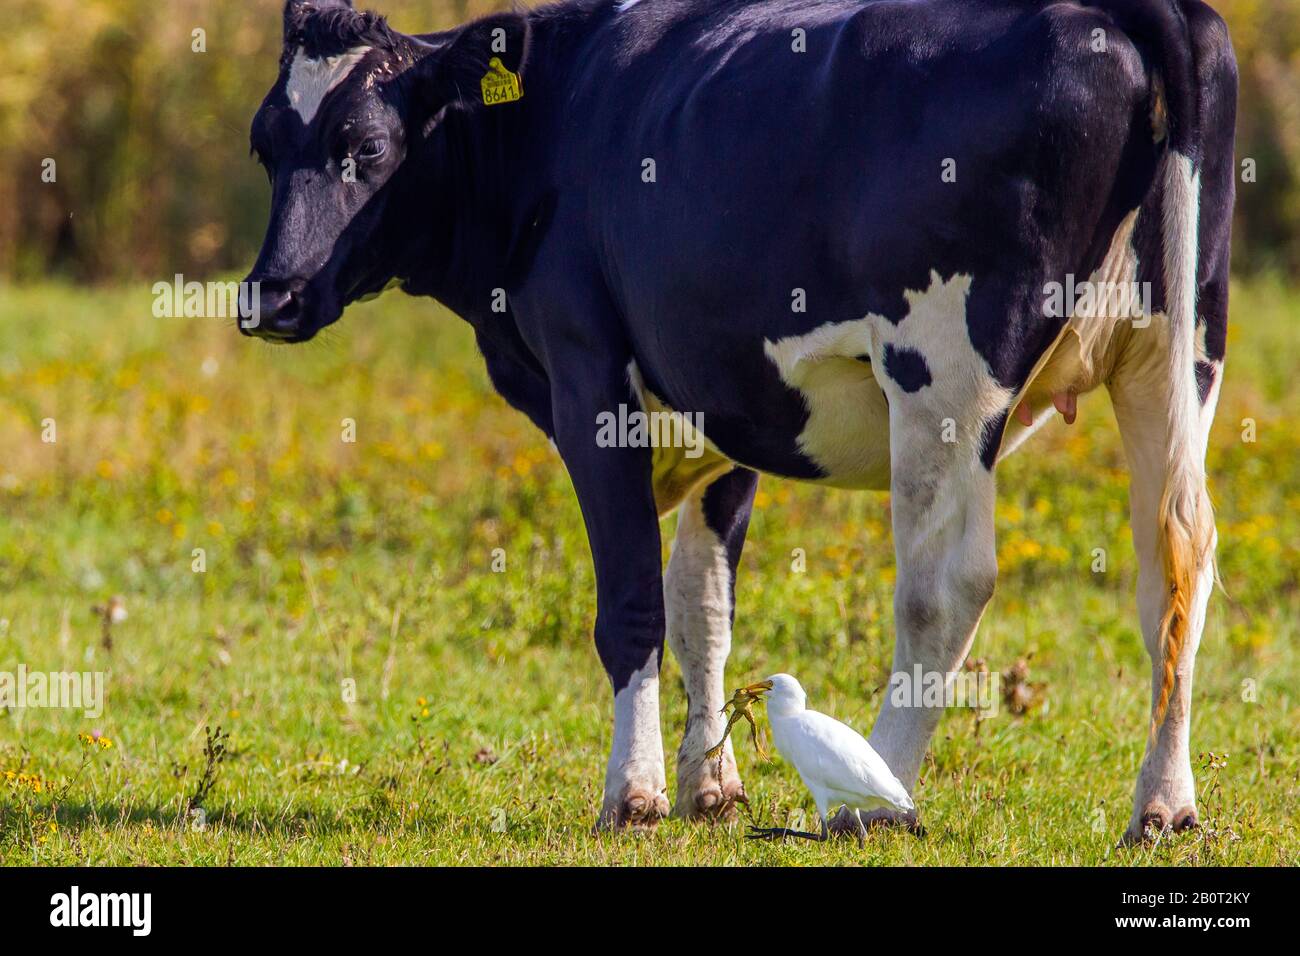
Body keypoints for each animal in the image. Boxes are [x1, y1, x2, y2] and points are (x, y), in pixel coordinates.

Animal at [244, 0, 1237, 842]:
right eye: (265, 145)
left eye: (367, 146)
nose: (271, 294)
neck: (552, 120)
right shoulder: (722, 397)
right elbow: (703, 606)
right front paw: (709, 787)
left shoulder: (587, 374)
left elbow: (632, 603)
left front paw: (634, 795)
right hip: (1175, 352)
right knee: (1175, 565)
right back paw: (1163, 806)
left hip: (944, 377)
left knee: (945, 586)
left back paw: (874, 797)